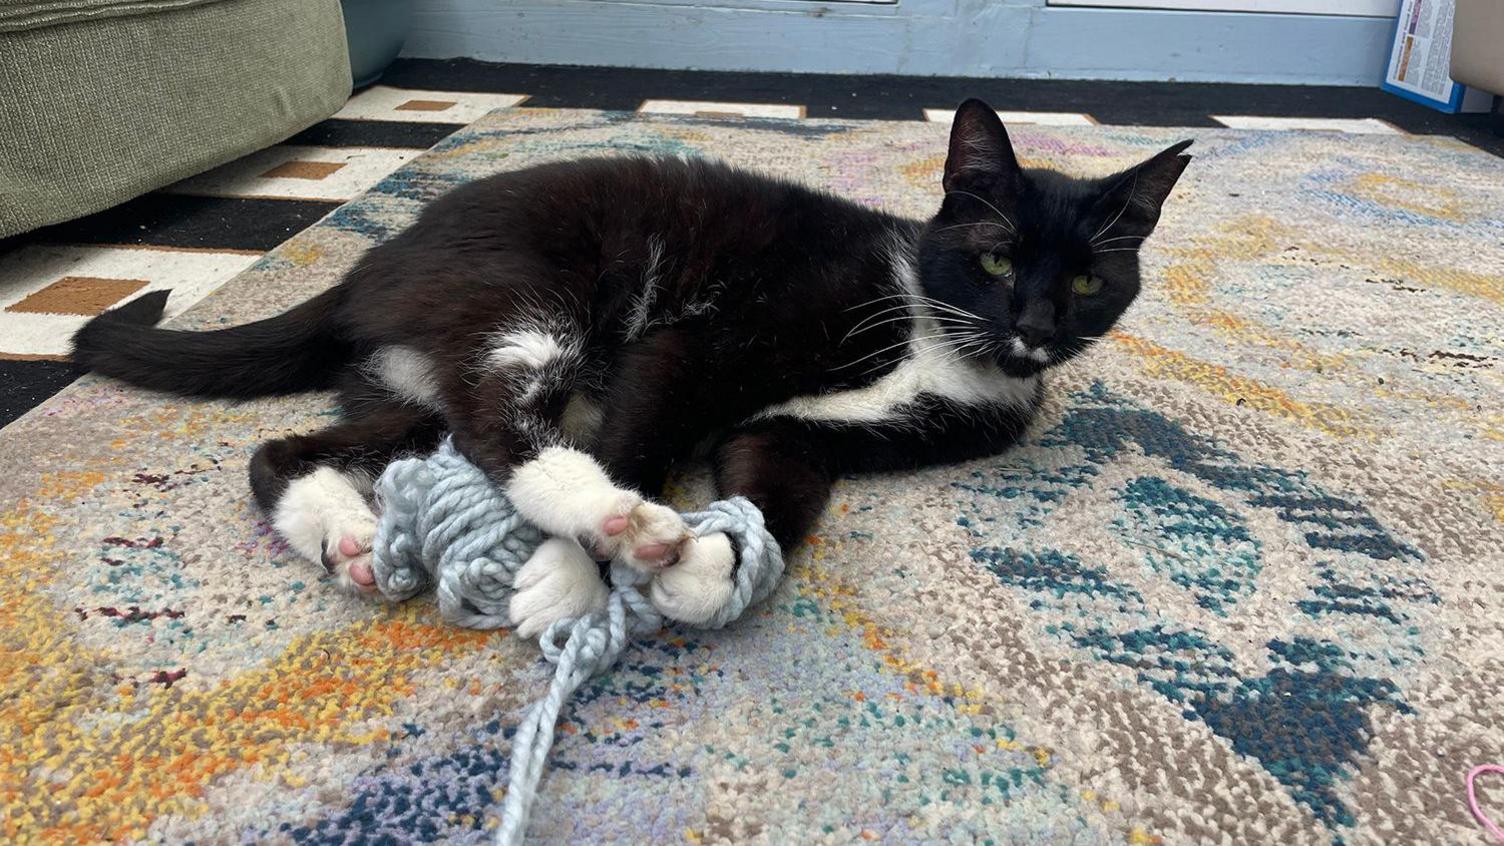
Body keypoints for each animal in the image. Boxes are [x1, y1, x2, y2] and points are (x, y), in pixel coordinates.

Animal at [73, 100, 1185, 632]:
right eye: (996, 259)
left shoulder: (802, 432)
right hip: (526, 300)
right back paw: (605, 512)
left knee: (296, 445)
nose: (1033, 326)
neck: (936, 340)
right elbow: (643, 436)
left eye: (1090, 283)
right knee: (502, 418)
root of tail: (369, 264)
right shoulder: (699, 345)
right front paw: (575, 577)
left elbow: (773, 492)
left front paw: (706, 574)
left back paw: (340, 532)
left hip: (401, 383)